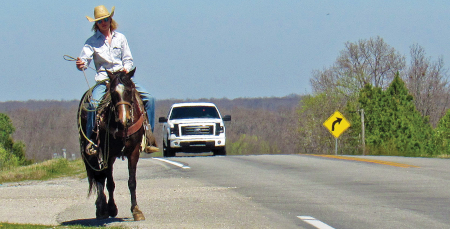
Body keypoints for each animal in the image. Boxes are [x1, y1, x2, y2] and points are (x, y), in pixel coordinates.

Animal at [77, 68, 148, 220]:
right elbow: (110, 183)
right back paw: (101, 208)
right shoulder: (107, 154)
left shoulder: (133, 152)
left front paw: (136, 210)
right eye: (113, 93)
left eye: (129, 90)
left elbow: (132, 182)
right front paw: (111, 208)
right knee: (99, 177)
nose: (124, 119)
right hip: (94, 154)